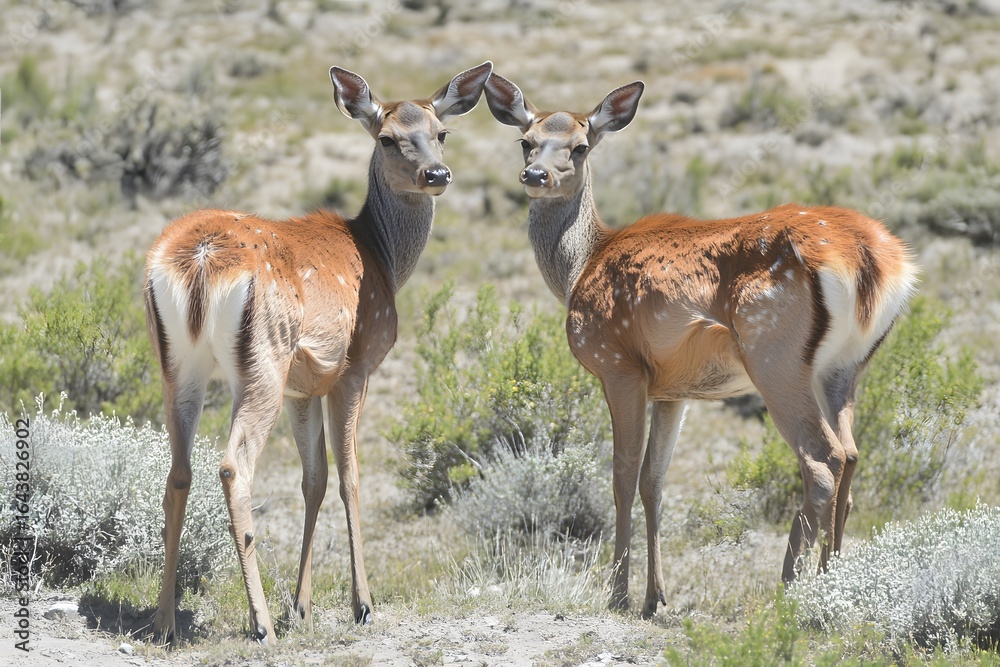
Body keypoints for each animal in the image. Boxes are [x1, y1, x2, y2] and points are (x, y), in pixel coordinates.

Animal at [143, 61, 493, 645]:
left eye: (441, 133)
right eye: (387, 138)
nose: (437, 174)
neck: (382, 255)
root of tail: (200, 260)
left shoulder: (303, 388)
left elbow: (315, 480)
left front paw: (302, 607)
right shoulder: (355, 366)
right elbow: (351, 477)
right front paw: (362, 604)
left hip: (178, 366)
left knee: (178, 472)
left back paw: (166, 621)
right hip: (264, 358)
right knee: (233, 466)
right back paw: (260, 624)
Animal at [483, 72, 918, 618]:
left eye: (580, 146)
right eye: (525, 140)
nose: (536, 175)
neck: (580, 266)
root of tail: (873, 260)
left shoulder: (618, 366)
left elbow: (622, 474)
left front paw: (618, 595)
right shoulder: (673, 390)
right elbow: (654, 480)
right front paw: (655, 597)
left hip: (773, 357)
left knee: (823, 461)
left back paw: (788, 591)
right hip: (843, 369)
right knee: (853, 457)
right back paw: (833, 586)